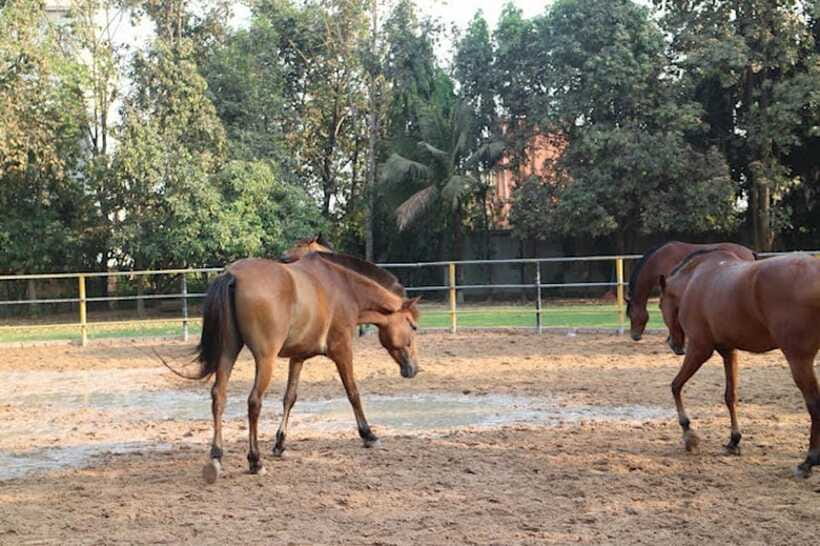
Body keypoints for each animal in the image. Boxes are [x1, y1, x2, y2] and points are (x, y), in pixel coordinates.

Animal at [161, 251, 421, 483]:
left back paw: (216, 457)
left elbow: (290, 398)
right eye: (412, 326)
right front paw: (369, 435)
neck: (343, 288)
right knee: (254, 402)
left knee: (219, 397)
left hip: (228, 352)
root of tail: (232, 275)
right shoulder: (342, 351)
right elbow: (353, 393)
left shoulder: (298, 357)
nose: (414, 369)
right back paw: (255, 461)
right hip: (265, 359)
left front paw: (280, 443)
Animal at [658, 249, 820, 478]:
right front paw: (734, 441)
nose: (674, 344)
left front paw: (689, 434)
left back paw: (809, 461)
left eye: (659, 304)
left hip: (799, 360)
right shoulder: (729, 351)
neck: (695, 279)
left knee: (814, 405)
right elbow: (730, 396)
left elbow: (675, 386)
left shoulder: (699, 350)